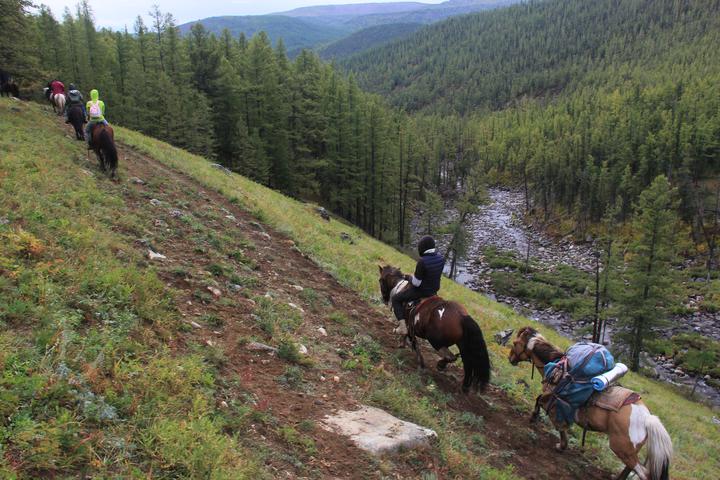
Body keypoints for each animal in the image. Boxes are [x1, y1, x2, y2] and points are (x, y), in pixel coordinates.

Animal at [376, 264, 490, 392]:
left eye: (380, 280)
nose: (384, 299)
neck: (401, 287)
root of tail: (462, 317)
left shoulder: (409, 325)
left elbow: (413, 342)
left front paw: (420, 362)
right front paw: (403, 345)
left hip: (435, 341)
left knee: (451, 357)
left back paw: (441, 365)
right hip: (462, 345)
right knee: (467, 363)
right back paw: (464, 385)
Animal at [510, 326, 672, 480]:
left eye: (515, 343)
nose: (511, 359)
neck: (557, 366)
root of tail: (647, 418)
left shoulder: (554, 400)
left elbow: (544, 407)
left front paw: (535, 420)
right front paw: (562, 445)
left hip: (622, 448)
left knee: (643, 473)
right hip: (631, 451)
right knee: (630, 468)